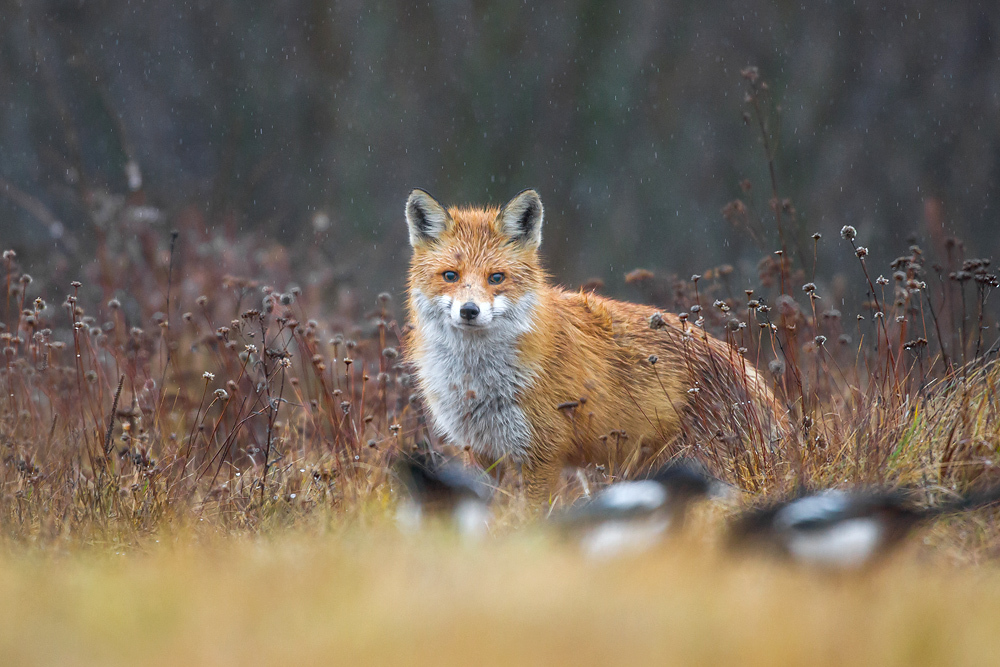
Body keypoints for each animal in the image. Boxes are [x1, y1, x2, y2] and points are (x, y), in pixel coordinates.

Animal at [404, 188, 780, 500]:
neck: (476, 383)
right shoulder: (479, 453)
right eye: (450, 276)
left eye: (496, 278)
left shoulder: (541, 455)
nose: (469, 310)